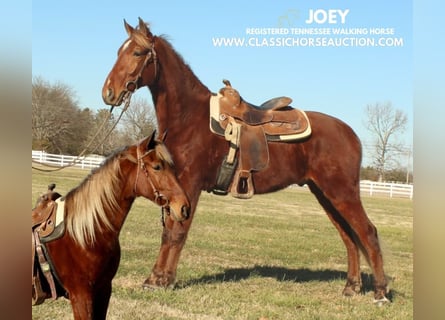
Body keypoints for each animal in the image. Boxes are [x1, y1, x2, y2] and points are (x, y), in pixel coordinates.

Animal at [100, 18, 388, 304]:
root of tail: (351, 134)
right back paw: (351, 287)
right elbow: (170, 230)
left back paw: (380, 293)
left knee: (367, 232)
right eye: (118, 51)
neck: (189, 118)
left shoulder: (189, 185)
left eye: (138, 52)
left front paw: (160, 280)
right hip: (324, 194)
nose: (109, 93)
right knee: (349, 236)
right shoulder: (176, 187)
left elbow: (176, 232)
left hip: (342, 192)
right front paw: (159, 278)